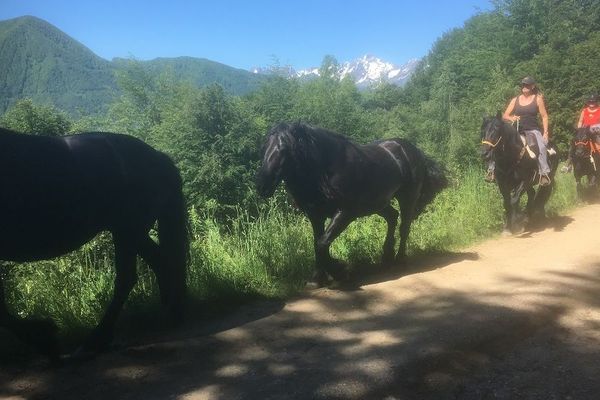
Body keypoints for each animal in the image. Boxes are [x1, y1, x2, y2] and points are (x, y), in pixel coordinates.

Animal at [0, 127, 188, 360]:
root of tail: (158, 157)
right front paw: (43, 338)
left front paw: (44, 338)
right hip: (131, 232)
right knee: (161, 262)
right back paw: (172, 312)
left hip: (128, 231)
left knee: (126, 279)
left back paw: (95, 341)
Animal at [255, 122, 448, 284]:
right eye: (263, 148)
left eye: (284, 149)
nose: (262, 185)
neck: (326, 169)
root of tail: (414, 150)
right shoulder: (315, 215)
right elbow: (317, 243)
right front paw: (318, 277)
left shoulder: (346, 213)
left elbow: (322, 243)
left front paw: (339, 270)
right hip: (378, 202)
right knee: (392, 217)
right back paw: (386, 257)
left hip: (407, 197)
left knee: (404, 227)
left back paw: (400, 260)